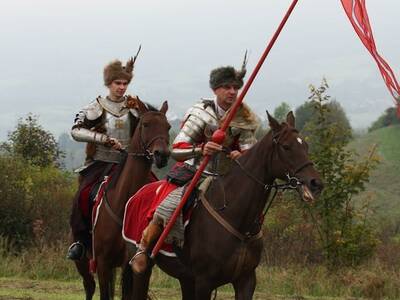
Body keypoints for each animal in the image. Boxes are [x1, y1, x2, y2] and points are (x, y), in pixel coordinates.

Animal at [74, 99, 171, 298]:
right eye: (145, 124)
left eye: (168, 127)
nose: (162, 155)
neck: (124, 204)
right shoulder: (102, 263)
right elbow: (78, 128)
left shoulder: (133, 265)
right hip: (83, 260)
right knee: (89, 285)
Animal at [120, 111, 324, 298]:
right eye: (286, 146)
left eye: (305, 145)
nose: (316, 183)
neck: (237, 218)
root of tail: (138, 192)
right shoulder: (204, 282)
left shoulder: (246, 280)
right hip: (143, 269)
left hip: (185, 278)